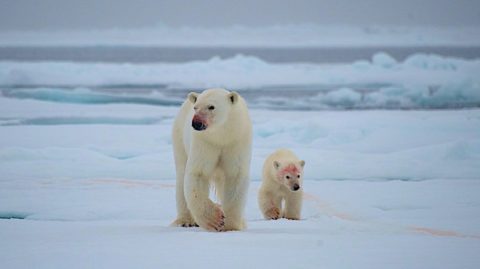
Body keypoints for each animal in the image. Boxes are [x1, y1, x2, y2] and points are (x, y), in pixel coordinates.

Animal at [172, 88, 253, 230]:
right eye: (195, 107)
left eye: (211, 107)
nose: (196, 123)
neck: (220, 136)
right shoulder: (205, 142)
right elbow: (198, 173)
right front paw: (215, 219)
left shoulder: (236, 140)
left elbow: (235, 175)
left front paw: (231, 226)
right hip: (179, 139)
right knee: (181, 178)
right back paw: (186, 221)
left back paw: (242, 222)